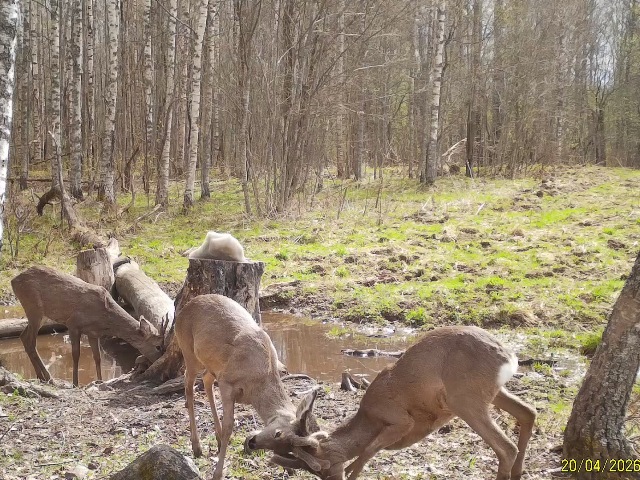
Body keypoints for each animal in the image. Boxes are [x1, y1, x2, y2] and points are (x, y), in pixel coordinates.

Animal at [11, 266, 163, 387]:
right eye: (157, 345)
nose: (159, 359)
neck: (104, 317)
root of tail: (13, 281)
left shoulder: (93, 333)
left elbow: (97, 357)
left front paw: (100, 380)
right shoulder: (73, 324)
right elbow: (76, 355)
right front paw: (75, 383)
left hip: (40, 314)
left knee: (23, 337)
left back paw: (42, 377)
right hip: (34, 308)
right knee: (30, 341)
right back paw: (49, 378)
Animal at [175, 294, 327, 480]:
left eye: (289, 450)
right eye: (278, 433)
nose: (253, 443)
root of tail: (184, 308)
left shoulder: (224, 376)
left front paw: (287, 468)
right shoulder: (227, 382)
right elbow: (229, 426)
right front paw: (218, 473)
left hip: (212, 365)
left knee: (206, 379)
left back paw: (215, 440)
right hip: (188, 351)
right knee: (188, 384)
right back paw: (197, 447)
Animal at [245, 325, 537, 480]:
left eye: (325, 470)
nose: (252, 442)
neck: (370, 416)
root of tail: (508, 357)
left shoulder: (400, 419)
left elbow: (368, 449)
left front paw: (352, 472)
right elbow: (371, 449)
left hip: (465, 399)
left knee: (506, 446)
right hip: (489, 393)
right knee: (528, 412)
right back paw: (519, 472)